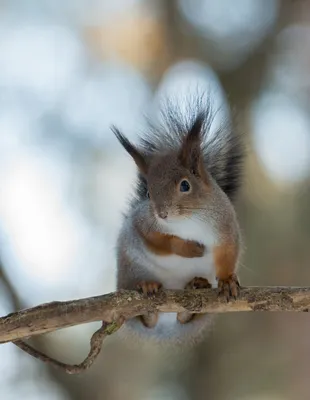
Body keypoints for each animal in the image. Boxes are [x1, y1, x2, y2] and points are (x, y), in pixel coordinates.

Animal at [111, 96, 245, 344]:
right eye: (148, 194)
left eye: (185, 185)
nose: (162, 214)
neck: (188, 220)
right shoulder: (143, 223)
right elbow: (160, 242)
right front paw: (189, 248)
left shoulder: (226, 225)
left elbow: (228, 251)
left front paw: (228, 280)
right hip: (131, 269)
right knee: (144, 318)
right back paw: (148, 293)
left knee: (186, 317)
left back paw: (196, 289)